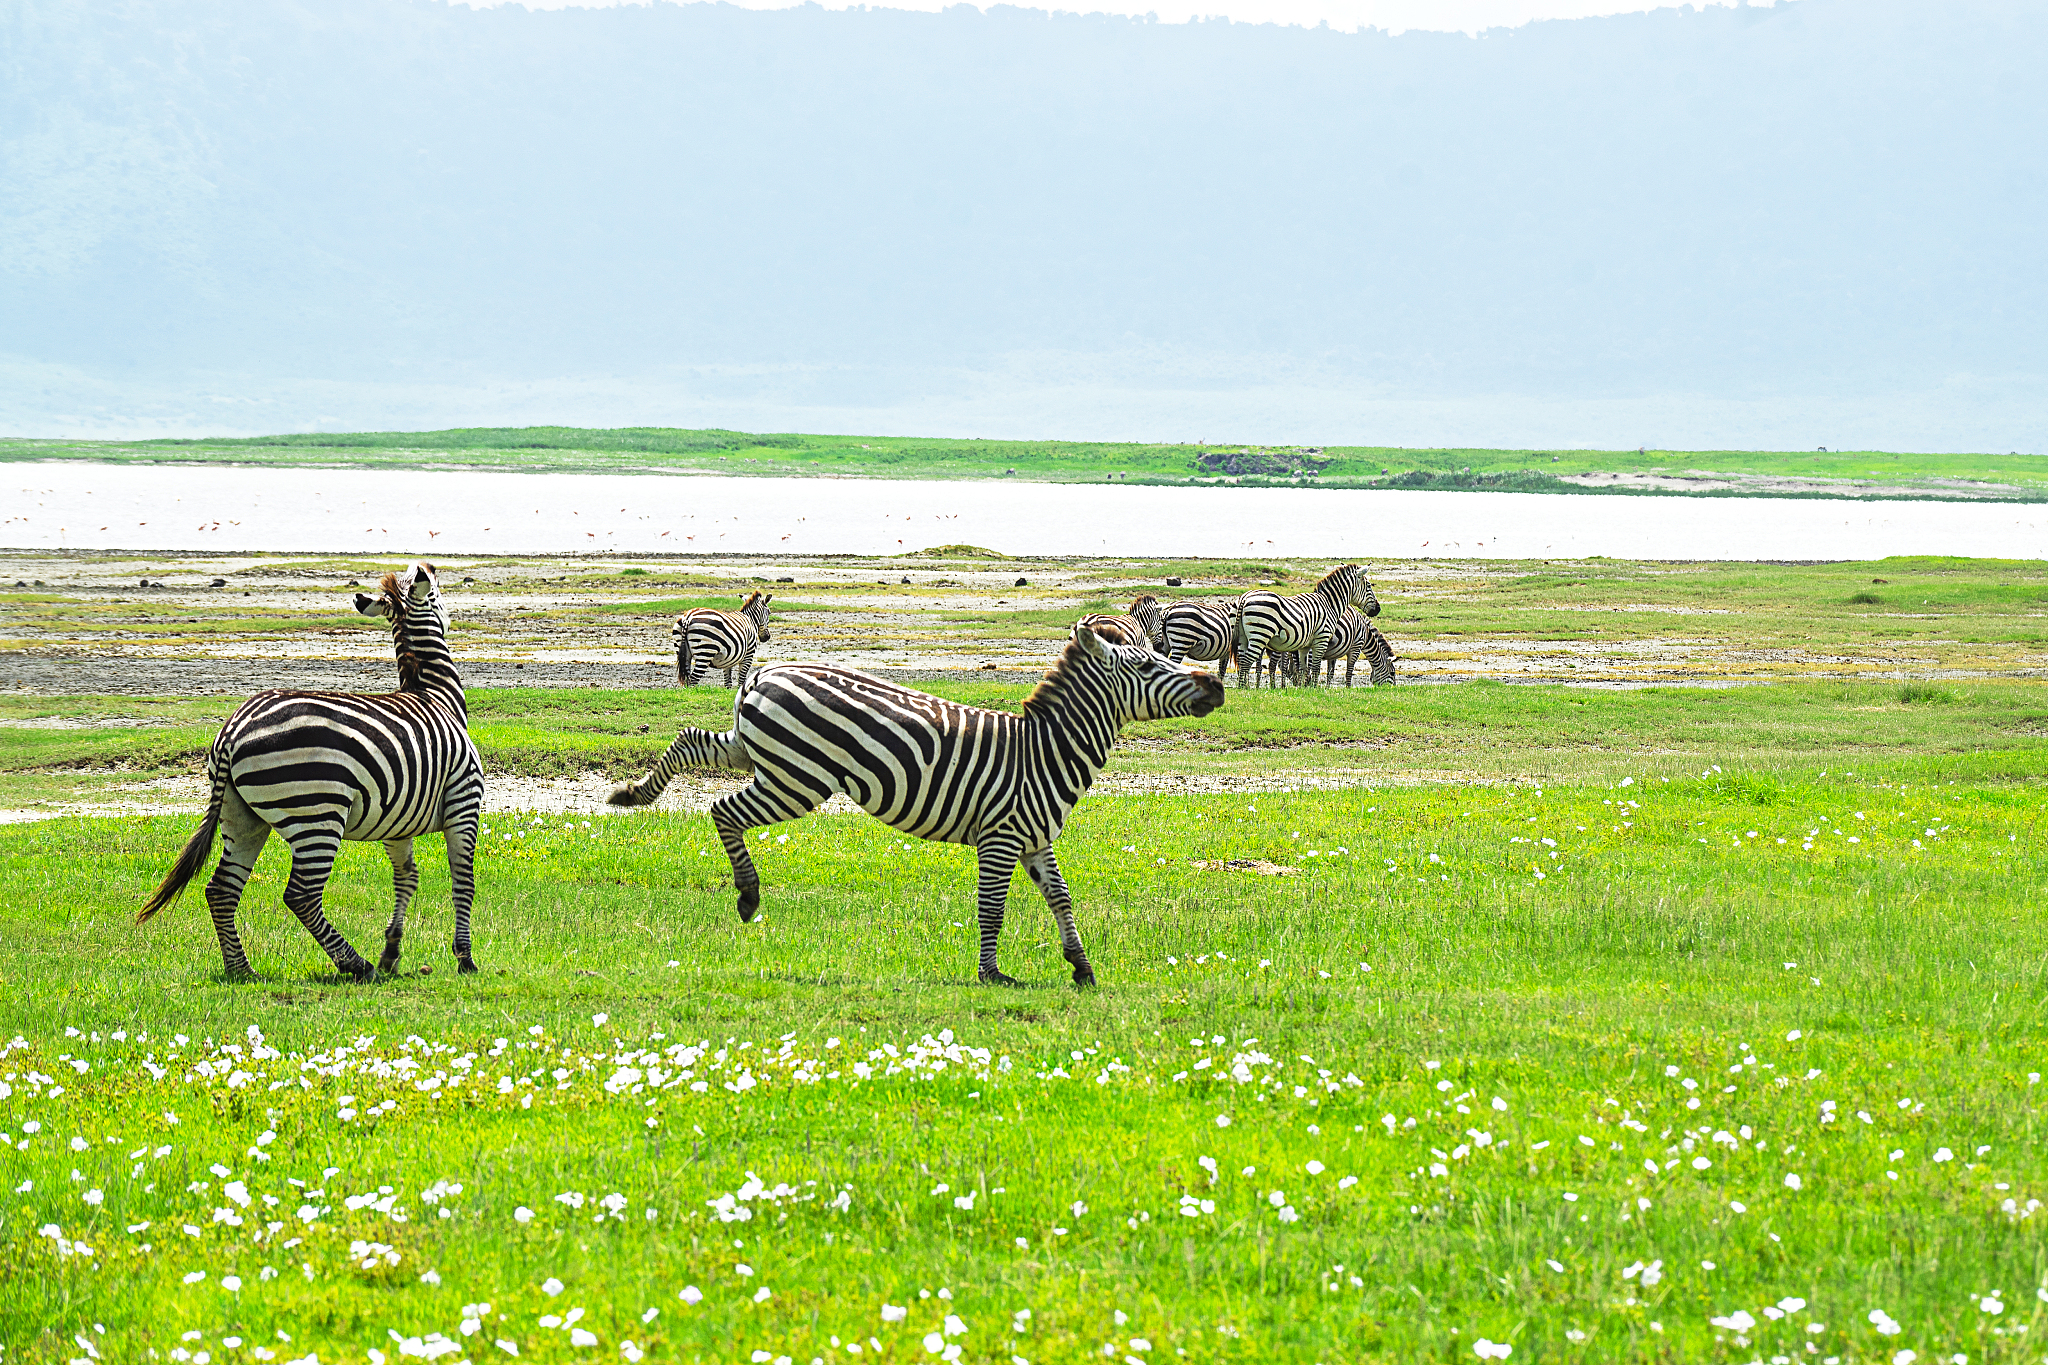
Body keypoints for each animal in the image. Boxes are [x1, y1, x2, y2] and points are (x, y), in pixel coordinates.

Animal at [137, 562, 485, 980]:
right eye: (438, 594)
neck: (436, 696)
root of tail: (234, 730)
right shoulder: (464, 803)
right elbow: (463, 880)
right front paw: (464, 958)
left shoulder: (397, 822)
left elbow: (407, 878)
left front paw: (392, 951)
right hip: (317, 814)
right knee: (300, 895)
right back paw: (355, 964)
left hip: (241, 815)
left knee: (221, 890)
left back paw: (242, 970)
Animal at [608, 620, 1225, 986]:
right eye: (1148, 666)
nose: (1217, 688)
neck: (1045, 749)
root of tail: (762, 673)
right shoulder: (1001, 838)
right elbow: (992, 908)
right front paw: (992, 975)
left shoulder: (1035, 838)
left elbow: (1062, 899)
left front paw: (1082, 968)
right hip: (797, 777)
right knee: (722, 810)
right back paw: (747, 894)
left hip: (758, 750)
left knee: (690, 742)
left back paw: (633, 794)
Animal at [1231, 565, 1379, 688]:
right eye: (1369, 586)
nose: (1378, 609)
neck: (1329, 603)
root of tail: (1244, 597)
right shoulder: (1322, 638)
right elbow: (1316, 667)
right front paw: (1314, 688)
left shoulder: (1305, 646)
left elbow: (1303, 668)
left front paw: (1303, 689)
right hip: (1260, 634)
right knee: (1246, 660)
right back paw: (1244, 689)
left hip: (1243, 637)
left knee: (1242, 659)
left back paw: (1242, 687)